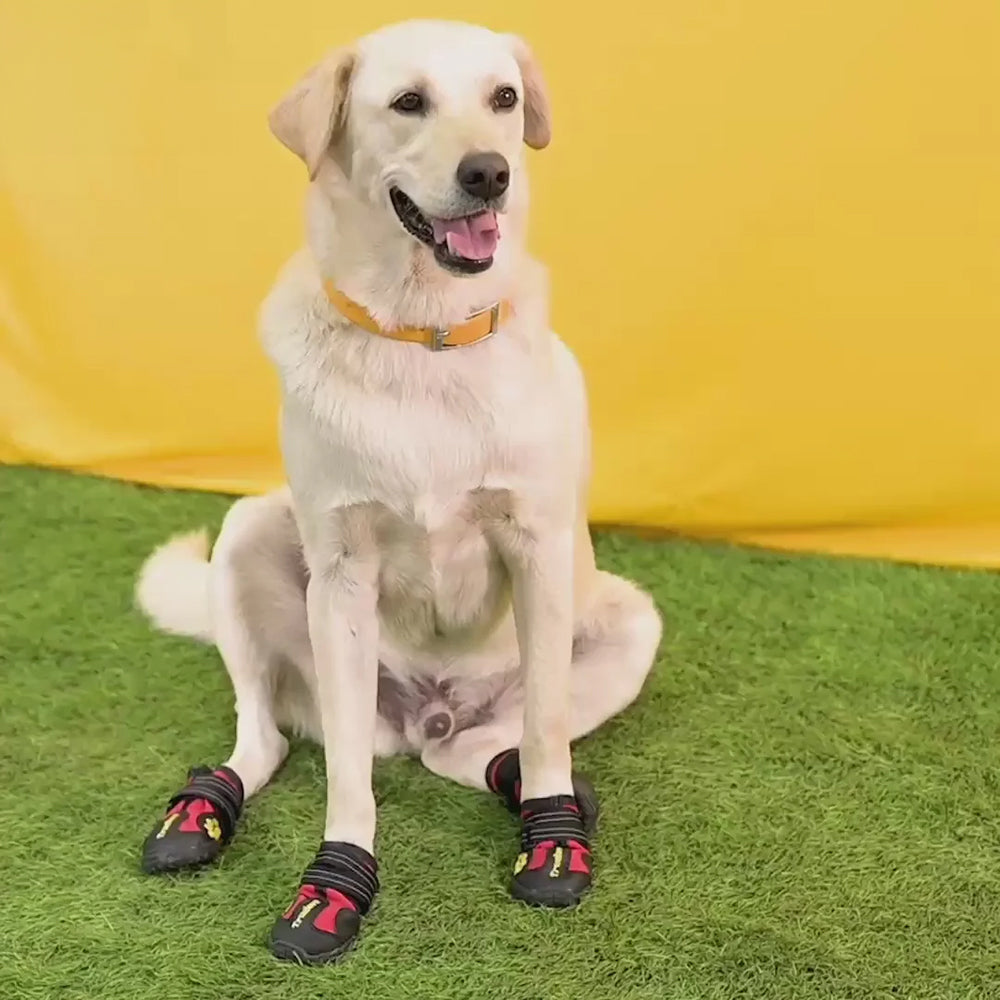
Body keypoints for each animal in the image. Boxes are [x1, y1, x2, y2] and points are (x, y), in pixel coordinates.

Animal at [137, 19, 660, 964]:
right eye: (409, 101)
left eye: (504, 99)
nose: (491, 171)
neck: (425, 334)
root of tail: (428, 719)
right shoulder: (343, 572)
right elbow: (345, 773)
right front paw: (333, 887)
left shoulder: (538, 548)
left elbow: (544, 732)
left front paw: (552, 839)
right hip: (250, 534)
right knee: (267, 738)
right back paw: (205, 808)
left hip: (627, 622)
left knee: (491, 749)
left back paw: (525, 784)